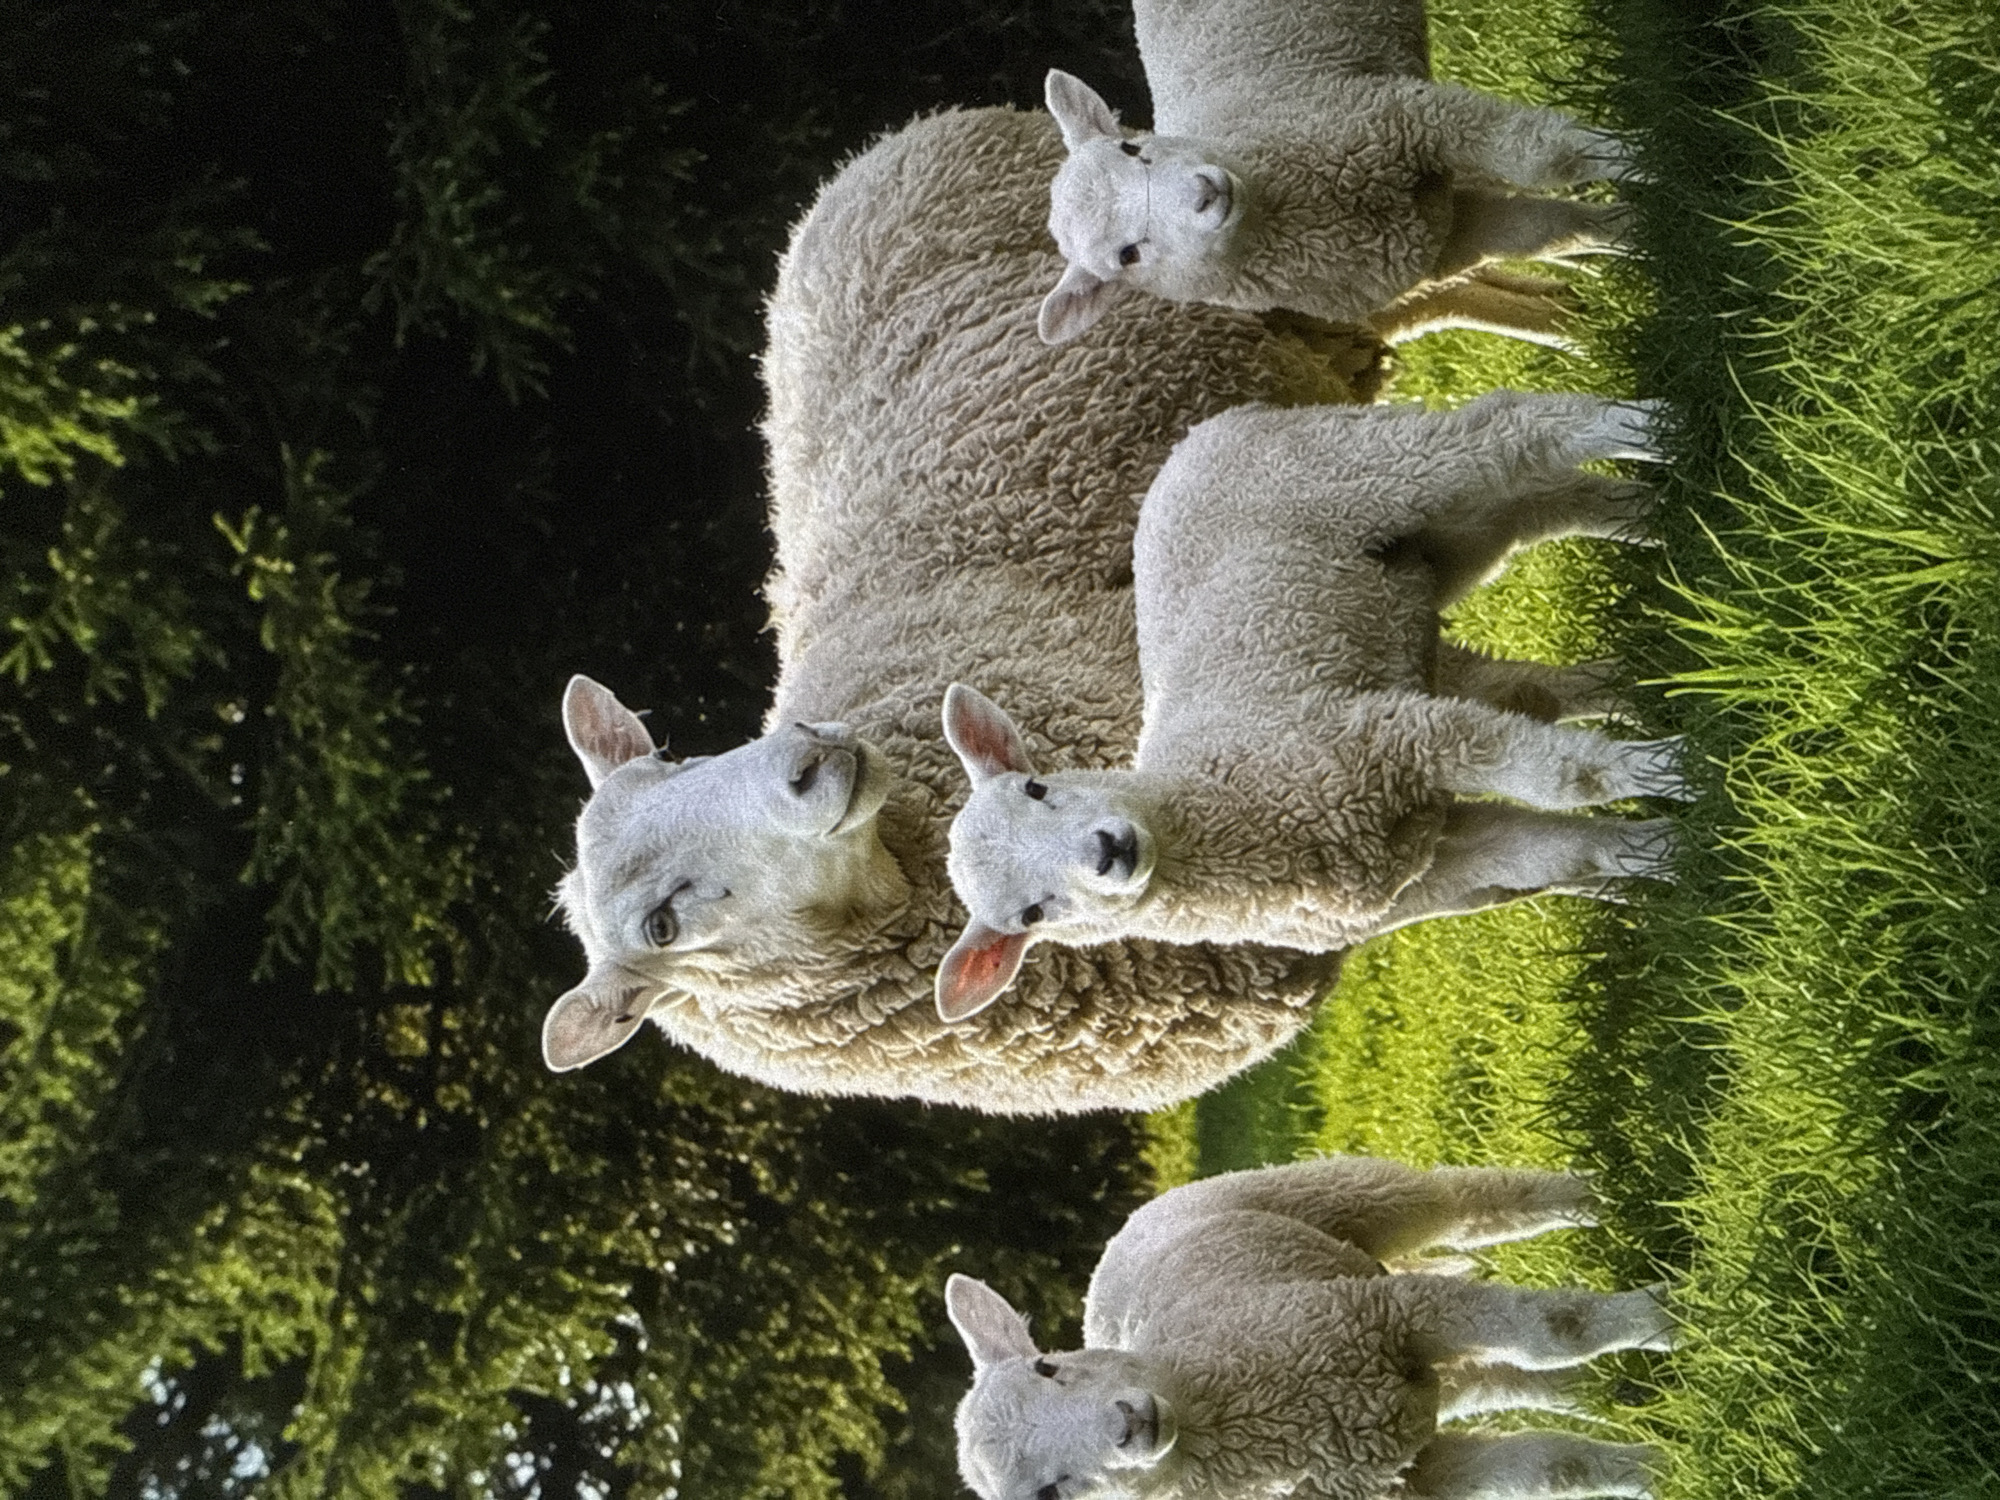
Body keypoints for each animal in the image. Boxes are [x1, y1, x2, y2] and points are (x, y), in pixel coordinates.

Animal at [936, 392, 1686, 1021]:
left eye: (1038, 786)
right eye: (1030, 915)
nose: (1107, 851)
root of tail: (1196, 438)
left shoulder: (1389, 736)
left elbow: (1560, 776)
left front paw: (1670, 772)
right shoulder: (1441, 858)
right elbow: (1567, 854)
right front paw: (1668, 852)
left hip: (1350, 469)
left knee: (1510, 430)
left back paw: (1649, 426)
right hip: (1430, 552)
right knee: (1552, 511)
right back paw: (1658, 526)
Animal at [948, 1154, 1672, 1500]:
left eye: (1049, 1367)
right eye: (1046, 1493)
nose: (1130, 1424)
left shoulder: (1396, 1311)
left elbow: (1558, 1327)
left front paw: (1665, 1315)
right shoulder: (1418, 1478)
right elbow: (1556, 1468)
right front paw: (1659, 1468)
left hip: (1344, 1197)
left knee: (1470, 1203)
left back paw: (1593, 1194)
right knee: (1492, 1378)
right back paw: (1600, 1397)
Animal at [1036, 0, 1643, 346]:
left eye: (1132, 147)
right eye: (1126, 256)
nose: (1205, 192)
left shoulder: (1407, 115)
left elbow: (1542, 156)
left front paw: (1638, 150)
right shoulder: (1443, 234)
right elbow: (1555, 230)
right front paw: (1642, 229)